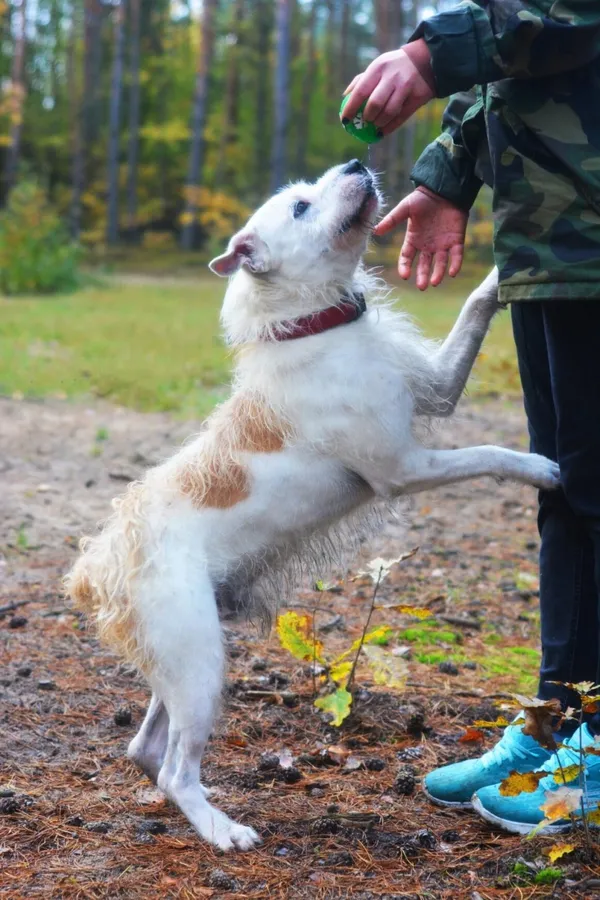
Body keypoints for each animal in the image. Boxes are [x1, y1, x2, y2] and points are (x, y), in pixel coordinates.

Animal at [64, 162, 556, 852]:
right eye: (300, 206)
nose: (355, 165)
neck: (314, 322)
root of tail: (98, 567)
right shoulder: (403, 469)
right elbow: (486, 451)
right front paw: (539, 468)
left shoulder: (435, 388)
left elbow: (473, 308)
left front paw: (501, 272)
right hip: (199, 661)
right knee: (175, 770)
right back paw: (223, 830)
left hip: (180, 660)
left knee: (147, 748)